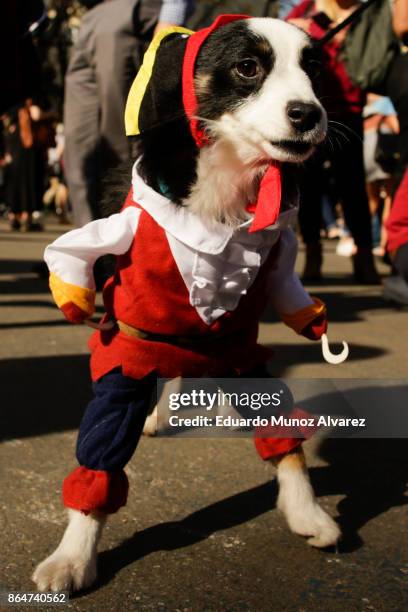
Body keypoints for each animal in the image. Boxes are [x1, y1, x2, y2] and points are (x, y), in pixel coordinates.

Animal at [31, 16, 340, 592]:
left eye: (314, 70)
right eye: (248, 67)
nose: (308, 114)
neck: (225, 188)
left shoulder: (243, 346)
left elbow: (283, 434)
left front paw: (306, 511)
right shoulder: (128, 345)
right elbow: (99, 460)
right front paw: (73, 557)